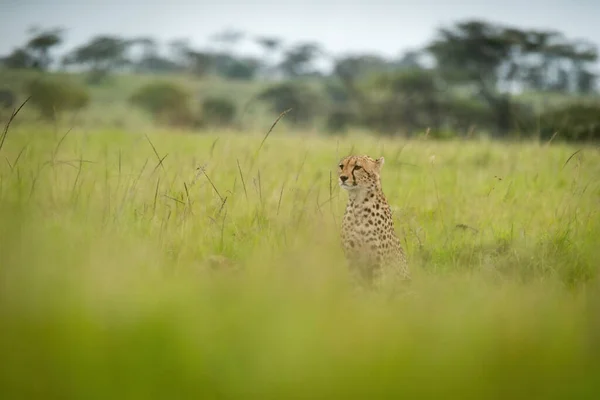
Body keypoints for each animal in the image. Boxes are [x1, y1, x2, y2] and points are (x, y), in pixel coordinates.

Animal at [338, 155, 408, 286]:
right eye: (341, 166)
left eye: (357, 167)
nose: (342, 177)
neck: (358, 202)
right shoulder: (351, 259)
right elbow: (356, 285)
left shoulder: (378, 262)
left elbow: (377, 286)